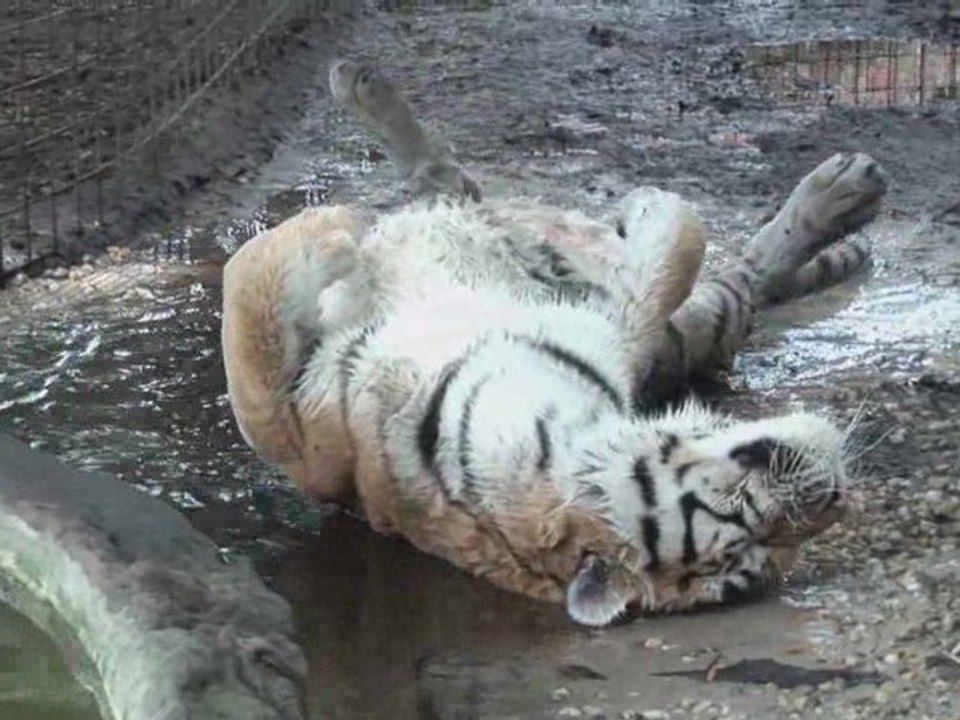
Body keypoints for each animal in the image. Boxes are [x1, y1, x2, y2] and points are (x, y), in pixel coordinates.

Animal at [220, 60, 887, 626]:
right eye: (742, 525)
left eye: (768, 546)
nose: (837, 494)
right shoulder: (314, 429)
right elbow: (252, 340)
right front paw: (335, 232)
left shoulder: (619, 329)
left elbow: (679, 239)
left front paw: (642, 210)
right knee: (453, 189)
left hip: (689, 320)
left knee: (740, 276)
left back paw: (846, 195)